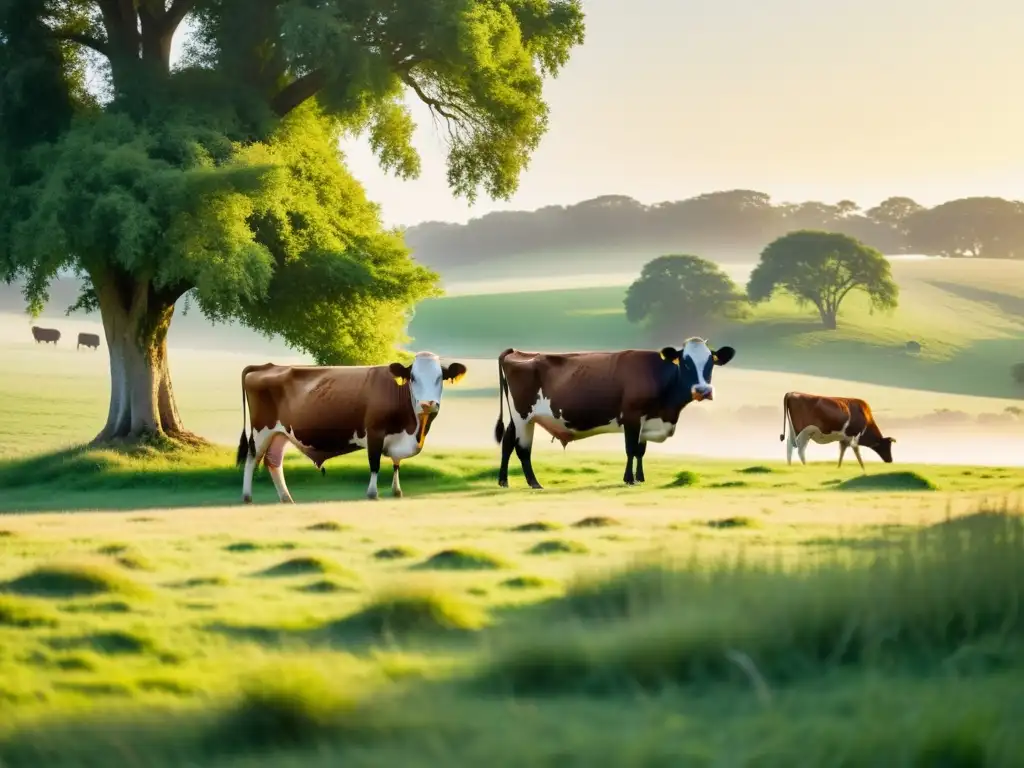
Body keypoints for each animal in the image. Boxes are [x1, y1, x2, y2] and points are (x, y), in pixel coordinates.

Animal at [234, 350, 466, 505]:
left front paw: (397, 491)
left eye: (440, 378)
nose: (427, 404)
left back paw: (286, 498)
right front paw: (372, 494)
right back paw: (247, 497)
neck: (413, 429)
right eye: (413, 377)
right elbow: (375, 463)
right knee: (252, 459)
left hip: (280, 432)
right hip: (262, 429)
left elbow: (396, 463)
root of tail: (268, 366)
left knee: (273, 461)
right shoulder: (374, 431)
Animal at [493, 335, 737, 487]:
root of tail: (517, 352)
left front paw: (641, 477)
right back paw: (534, 483)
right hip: (523, 416)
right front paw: (629, 479)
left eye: (711, 362)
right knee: (522, 449)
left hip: (517, 418)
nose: (703, 390)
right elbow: (631, 449)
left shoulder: (647, 419)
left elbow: (641, 450)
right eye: (685, 362)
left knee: (507, 442)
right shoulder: (631, 415)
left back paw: (503, 481)